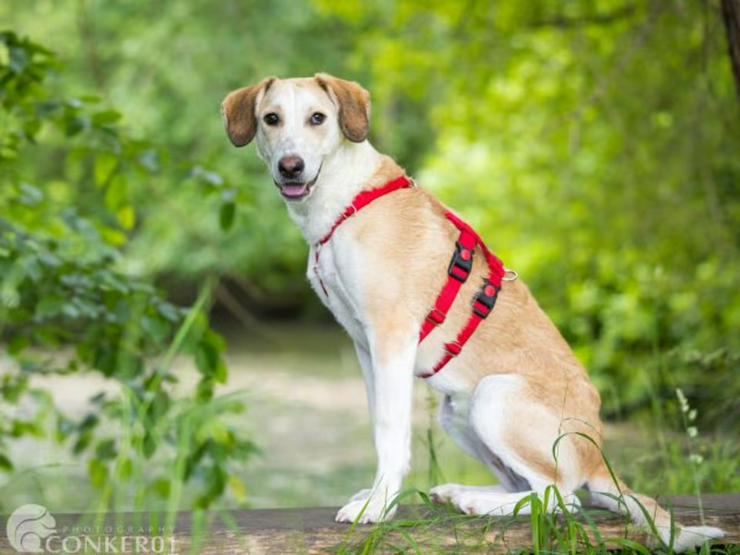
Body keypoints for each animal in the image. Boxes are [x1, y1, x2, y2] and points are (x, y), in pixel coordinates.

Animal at [223, 74, 724, 552]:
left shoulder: (391, 336)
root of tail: (598, 455)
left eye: (318, 118)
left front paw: (378, 506)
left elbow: (391, 431)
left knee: (561, 495)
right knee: (531, 487)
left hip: (495, 396)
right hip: (458, 413)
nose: (291, 166)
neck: (347, 201)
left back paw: (476, 501)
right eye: (271, 119)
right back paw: (464, 493)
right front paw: (378, 496)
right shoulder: (365, 346)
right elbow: (378, 424)